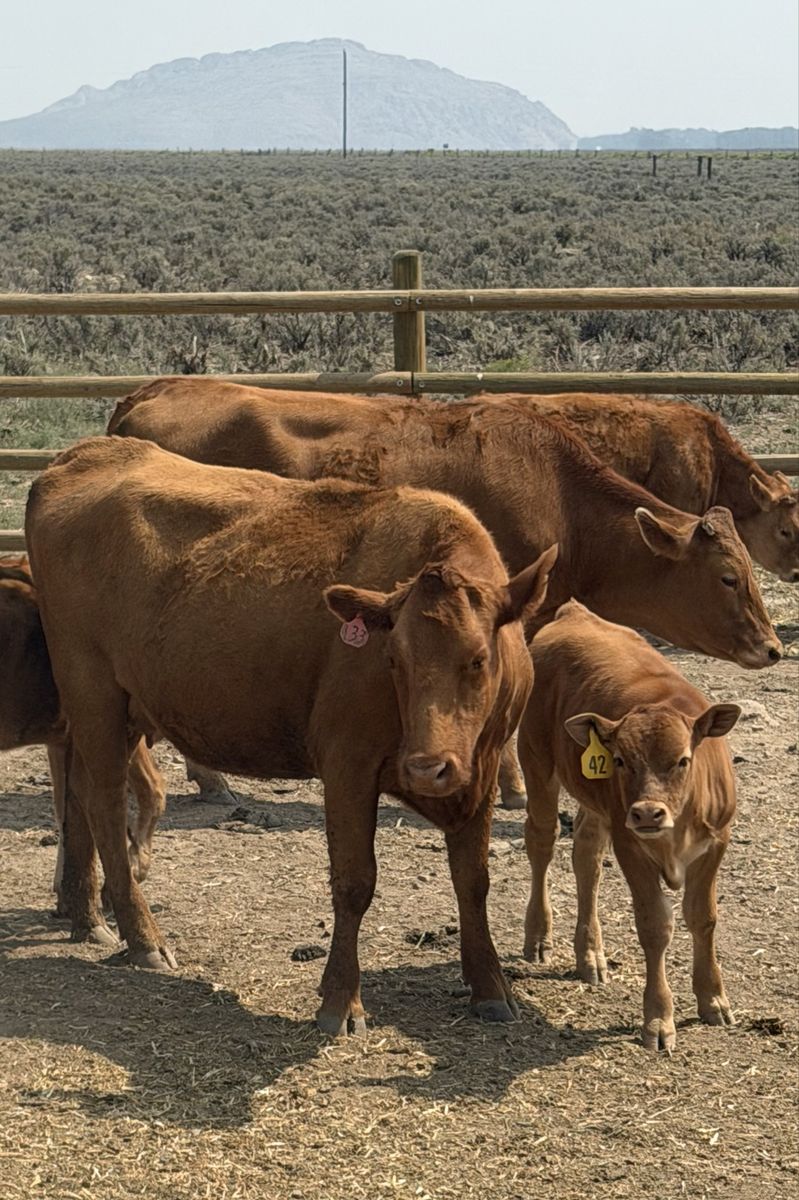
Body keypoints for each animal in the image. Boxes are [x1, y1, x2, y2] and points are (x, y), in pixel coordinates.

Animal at [26, 436, 556, 1034]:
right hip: (95, 696)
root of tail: (85, 454)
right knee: (105, 805)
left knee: (75, 798)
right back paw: (143, 939)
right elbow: (354, 882)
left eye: (479, 658)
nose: (427, 767)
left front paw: (490, 987)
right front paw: (341, 1000)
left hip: (105, 711)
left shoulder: (480, 772)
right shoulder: (348, 767)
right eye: (392, 659)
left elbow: (473, 878)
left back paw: (84, 913)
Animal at [519, 600, 740, 1051]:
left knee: (586, 857)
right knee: (542, 842)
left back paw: (590, 955)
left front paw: (713, 999)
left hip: (598, 806)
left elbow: (703, 917)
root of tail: (574, 613)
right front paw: (658, 1019)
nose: (647, 813)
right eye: (620, 760)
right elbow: (655, 925)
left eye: (683, 759)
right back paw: (539, 936)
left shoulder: (715, 843)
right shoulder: (630, 845)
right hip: (536, 763)